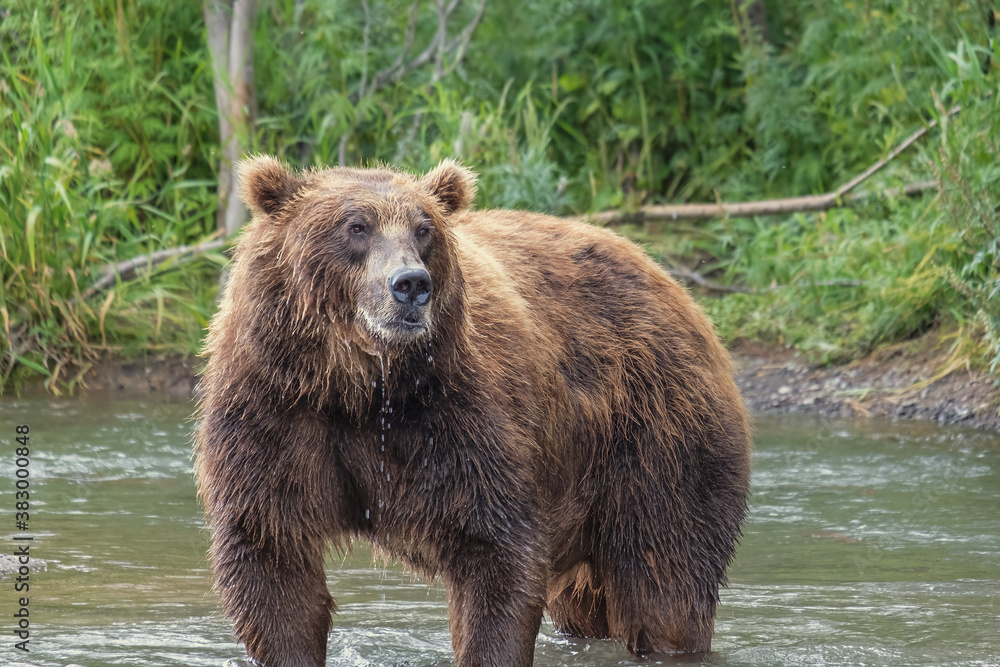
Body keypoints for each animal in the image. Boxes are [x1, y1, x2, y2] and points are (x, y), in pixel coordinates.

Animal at [197, 158, 752, 667]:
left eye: (423, 229)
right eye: (356, 226)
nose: (411, 284)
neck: (360, 386)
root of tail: (667, 279)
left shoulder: (457, 417)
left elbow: (496, 551)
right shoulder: (274, 413)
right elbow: (270, 555)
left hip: (655, 432)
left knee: (665, 575)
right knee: (587, 599)